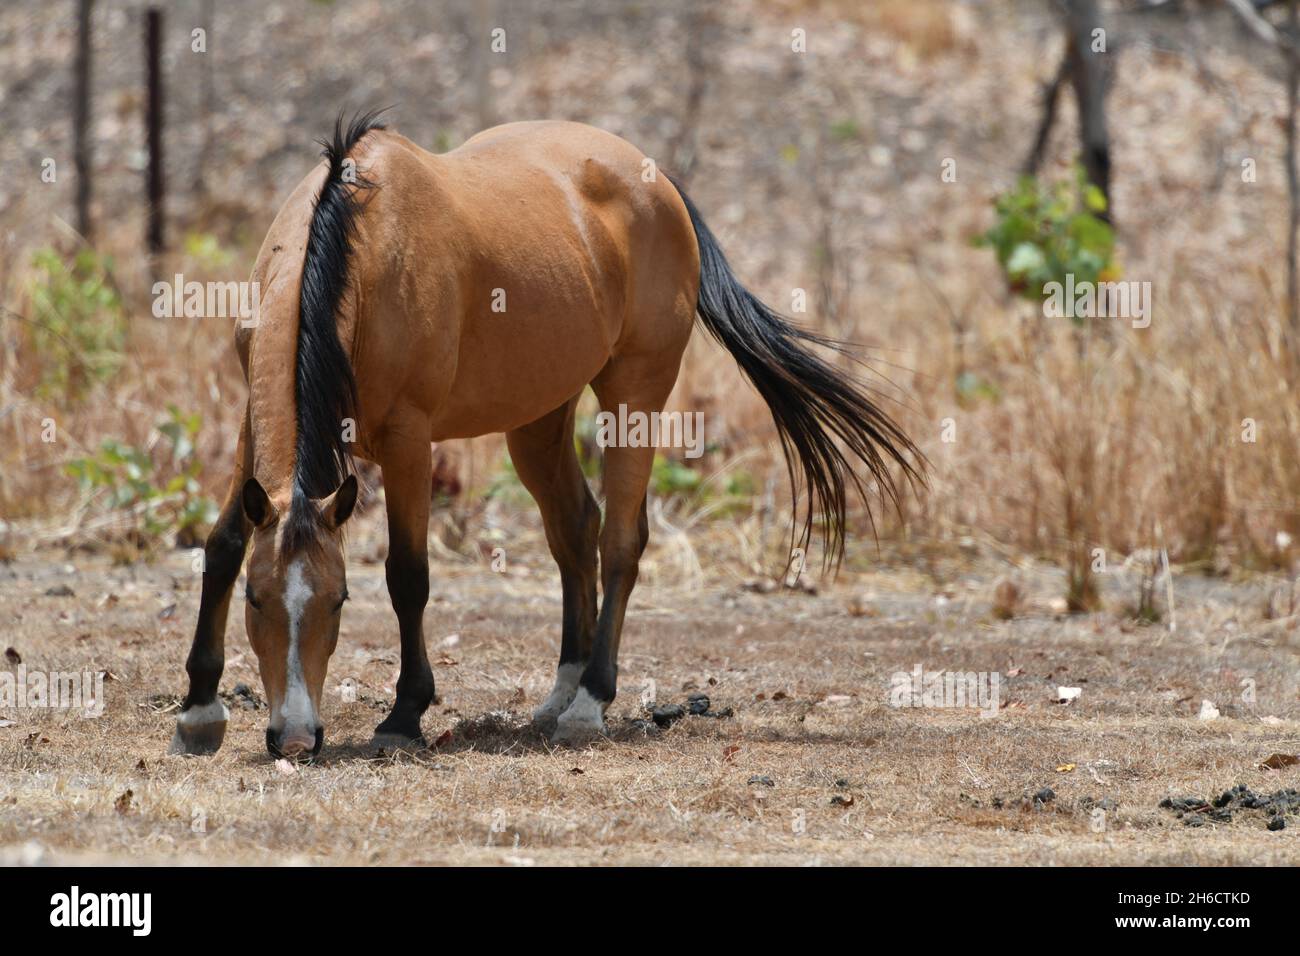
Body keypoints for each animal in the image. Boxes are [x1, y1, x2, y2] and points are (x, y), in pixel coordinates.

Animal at [170, 108, 925, 759]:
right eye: (258, 600)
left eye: (337, 602)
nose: (296, 737)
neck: (357, 244)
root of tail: (656, 180)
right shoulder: (251, 425)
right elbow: (224, 544)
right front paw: (199, 709)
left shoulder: (410, 440)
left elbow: (407, 575)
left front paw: (405, 714)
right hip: (538, 417)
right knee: (575, 528)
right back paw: (561, 691)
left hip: (636, 393)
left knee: (620, 541)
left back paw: (590, 702)